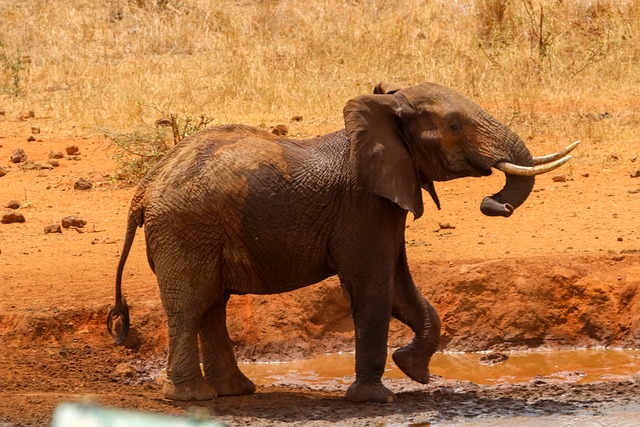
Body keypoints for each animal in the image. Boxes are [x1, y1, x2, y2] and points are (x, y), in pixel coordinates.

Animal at [107, 81, 576, 404]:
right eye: (455, 126)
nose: (493, 203)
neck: (386, 111)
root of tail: (144, 188)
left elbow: (399, 288)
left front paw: (414, 370)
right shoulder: (362, 204)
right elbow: (374, 287)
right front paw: (378, 399)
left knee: (212, 305)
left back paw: (236, 391)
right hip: (186, 229)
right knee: (191, 305)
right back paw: (193, 398)